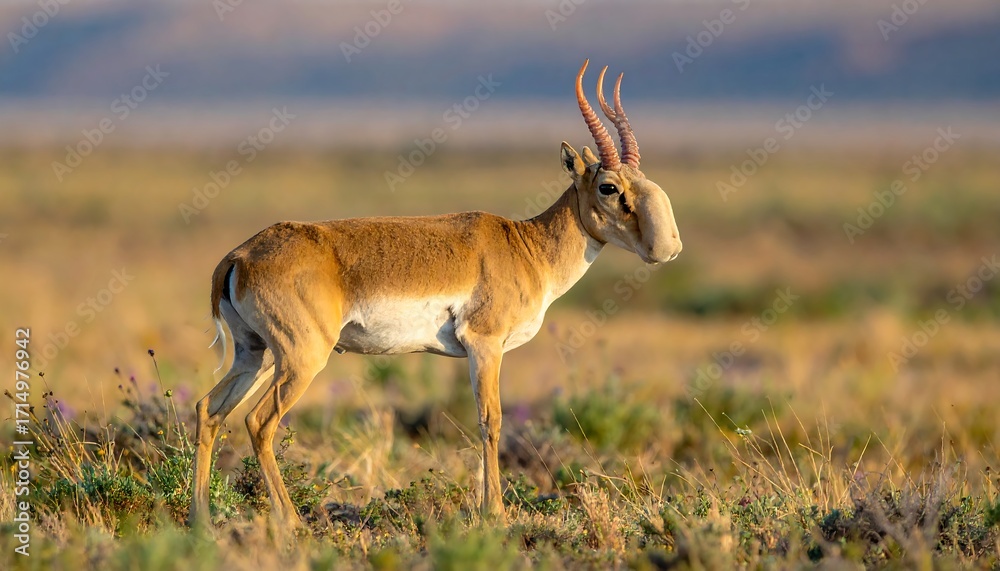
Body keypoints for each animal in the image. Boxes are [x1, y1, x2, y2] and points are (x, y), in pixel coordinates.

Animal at [188, 60, 682, 529]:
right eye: (608, 186)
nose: (666, 249)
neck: (525, 246)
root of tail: (240, 254)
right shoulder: (485, 347)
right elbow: (491, 420)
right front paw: (494, 514)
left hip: (256, 355)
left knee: (208, 410)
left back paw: (202, 521)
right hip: (301, 359)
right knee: (258, 422)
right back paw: (291, 522)